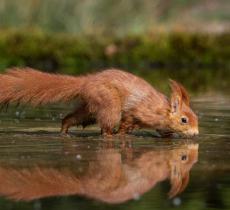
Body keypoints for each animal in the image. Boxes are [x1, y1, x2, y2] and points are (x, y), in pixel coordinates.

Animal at [0, 68, 198, 137]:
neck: (162, 110)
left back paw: (63, 130)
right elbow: (127, 122)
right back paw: (111, 134)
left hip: (89, 110)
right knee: (106, 127)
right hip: (109, 103)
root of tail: (86, 82)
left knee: (70, 118)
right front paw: (122, 133)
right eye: (184, 120)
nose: (196, 134)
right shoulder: (138, 112)